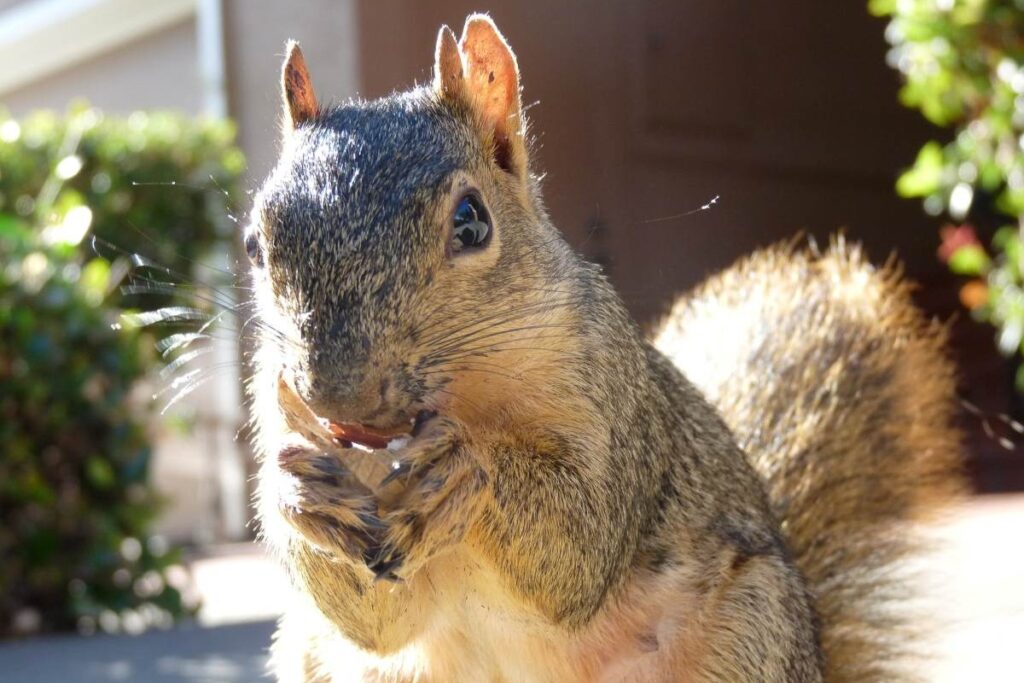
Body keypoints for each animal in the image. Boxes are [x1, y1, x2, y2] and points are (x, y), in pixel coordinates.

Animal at [245, 14, 962, 683]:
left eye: (472, 222)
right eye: (255, 244)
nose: (340, 397)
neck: (464, 400)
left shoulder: (613, 403)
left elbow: (583, 546)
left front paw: (468, 468)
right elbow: (378, 624)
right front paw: (297, 492)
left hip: (755, 625)